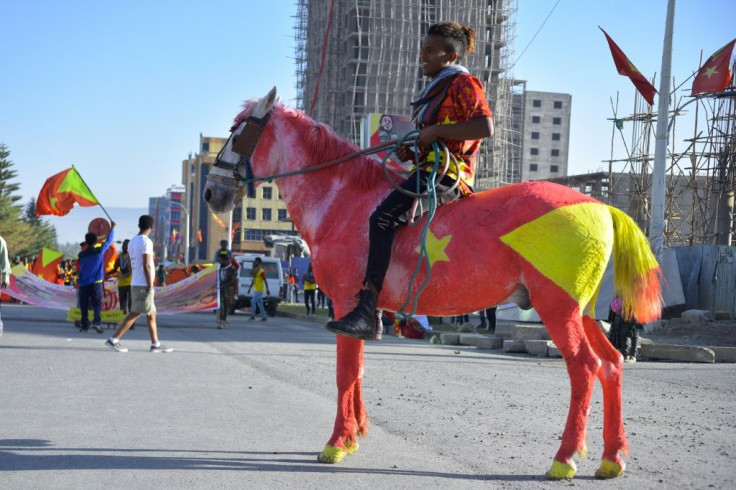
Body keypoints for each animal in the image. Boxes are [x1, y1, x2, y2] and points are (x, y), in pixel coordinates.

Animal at [201, 87, 660, 478]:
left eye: (238, 131)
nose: (209, 193)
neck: (342, 201)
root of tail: (599, 206)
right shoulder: (362, 310)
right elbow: (359, 370)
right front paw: (354, 435)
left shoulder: (344, 303)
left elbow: (345, 374)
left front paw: (336, 443)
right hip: (583, 311)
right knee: (612, 364)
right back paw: (611, 458)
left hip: (557, 308)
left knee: (584, 368)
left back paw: (565, 458)